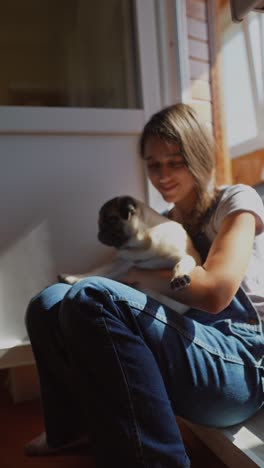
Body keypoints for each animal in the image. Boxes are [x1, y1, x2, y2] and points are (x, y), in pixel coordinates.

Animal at [58, 195, 201, 292]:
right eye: (99, 223)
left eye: (112, 220)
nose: (99, 233)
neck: (142, 245)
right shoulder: (122, 263)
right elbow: (98, 271)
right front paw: (74, 277)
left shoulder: (182, 256)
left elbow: (180, 264)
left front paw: (179, 276)